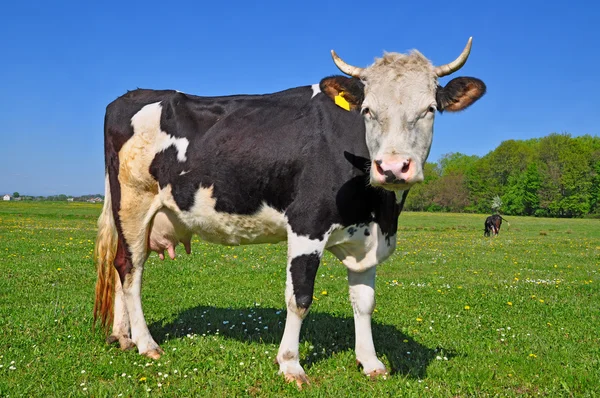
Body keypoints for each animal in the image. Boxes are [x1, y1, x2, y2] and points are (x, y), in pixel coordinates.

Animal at [95, 37, 488, 386]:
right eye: (367, 111)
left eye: (429, 109)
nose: (392, 168)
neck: (380, 210)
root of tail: (132, 95)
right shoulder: (306, 225)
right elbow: (299, 298)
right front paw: (290, 365)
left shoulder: (368, 238)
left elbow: (364, 302)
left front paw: (370, 362)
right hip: (133, 202)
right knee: (131, 268)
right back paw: (146, 343)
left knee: (119, 264)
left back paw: (122, 337)